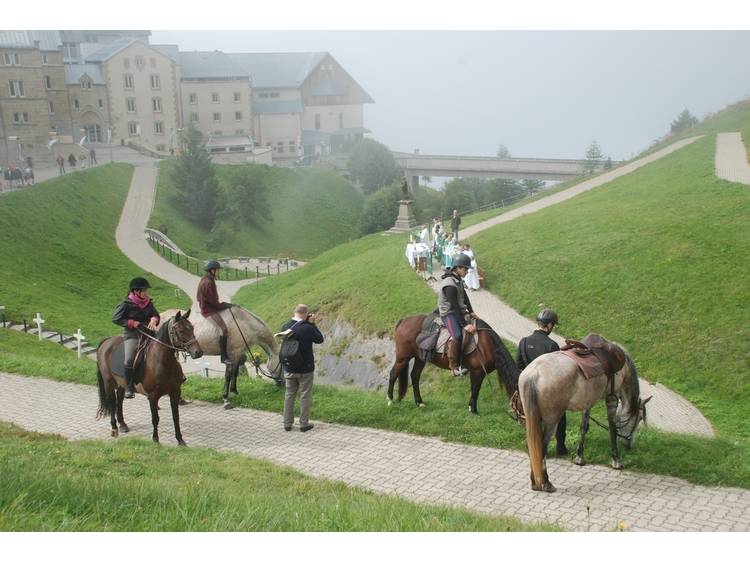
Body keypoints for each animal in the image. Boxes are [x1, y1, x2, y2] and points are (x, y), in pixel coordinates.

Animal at [95, 308, 204, 444]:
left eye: (192, 328)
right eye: (181, 331)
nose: (198, 352)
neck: (163, 361)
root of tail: (107, 341)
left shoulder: (175, 392)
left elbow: (176, 417)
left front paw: (180, 440)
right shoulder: (153, 396)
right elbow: (155, 418)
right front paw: (155, 439)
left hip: (121, 384)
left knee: (119, 400)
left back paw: (123, 424)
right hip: (108, 382)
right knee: (112, 402)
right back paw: (114, 428)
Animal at [388, 312, 524, 414]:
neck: (487, 344)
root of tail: (403, 321)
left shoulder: (479, 373)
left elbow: (475, 389)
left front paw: (471, 407)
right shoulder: (477, 371)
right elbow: (475, 389)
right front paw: (473, 409)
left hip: (420, 358)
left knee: (415, 376)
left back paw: (419, 402)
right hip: (403, 358)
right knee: (393, 374)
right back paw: (390, 400)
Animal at [524, 336, 652, 490]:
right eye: (639, 418)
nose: (629, 445)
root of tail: (535, 373)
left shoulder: (587, 400)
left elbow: (583, 428)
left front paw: (579, 457)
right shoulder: (612, 398)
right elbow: (612, 429)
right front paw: (616, 461)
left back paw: (535, 482)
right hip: (552, 419)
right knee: (541, 446)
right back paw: (545, 483)